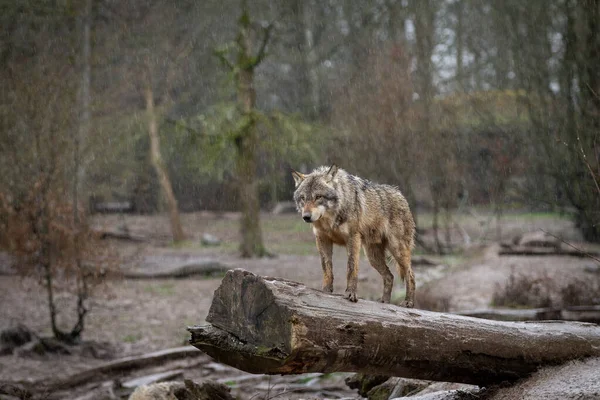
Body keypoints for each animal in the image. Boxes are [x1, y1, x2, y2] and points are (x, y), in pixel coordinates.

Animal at [292, 164, 414, 308]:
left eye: (318, 197)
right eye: (303, 198)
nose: (306, 217)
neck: (330, 220)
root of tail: (401, 195)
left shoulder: (353, 238)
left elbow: (351, 268)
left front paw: (351, 294)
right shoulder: (322, 239)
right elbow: (326, 267)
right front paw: (326, 291)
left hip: (397, 250)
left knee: (410, 274)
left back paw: (408, 302)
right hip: (372, 257)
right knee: (390, 276)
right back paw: (384, 302)